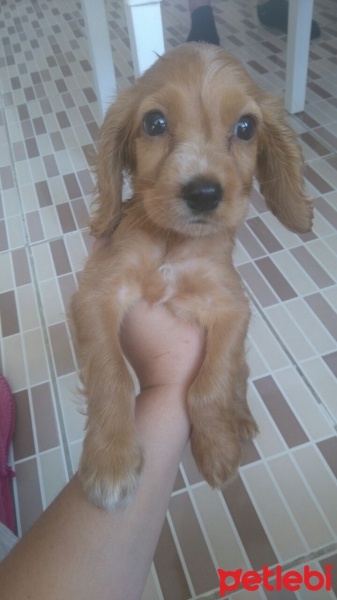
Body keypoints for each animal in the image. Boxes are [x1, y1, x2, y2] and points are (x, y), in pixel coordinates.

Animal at [69, 43, 314, 510]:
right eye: (154, 122)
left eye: (246, 127)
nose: (203, 193)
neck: (173, 244)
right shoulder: (97, 291)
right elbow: (112, 374)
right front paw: (111, 461)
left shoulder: (231, 306)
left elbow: (211, 383)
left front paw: (217, 447)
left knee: (239, 378)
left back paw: (240, 421)